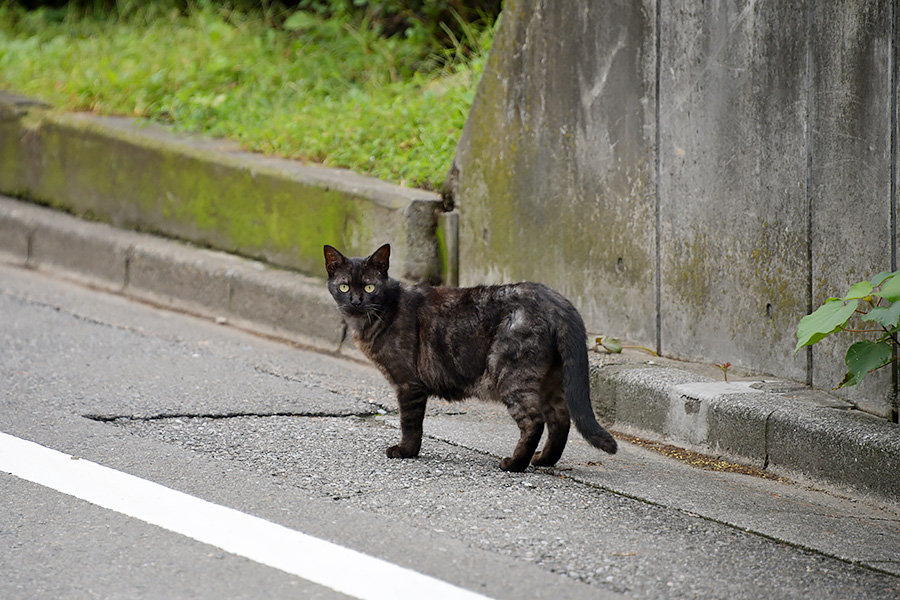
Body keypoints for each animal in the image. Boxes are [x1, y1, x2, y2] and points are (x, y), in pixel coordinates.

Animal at [324, 241, 620, 472]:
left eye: (370, 287)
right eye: (344, 287)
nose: (356, 301)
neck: (377, 315)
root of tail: (556, 300)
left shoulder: (409, 384)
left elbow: (410, 423)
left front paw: (406, 452)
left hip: (511, 374)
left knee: (534, 420)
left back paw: (514, 465)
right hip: (548, 379)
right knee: (560, 419)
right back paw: (544, 460)